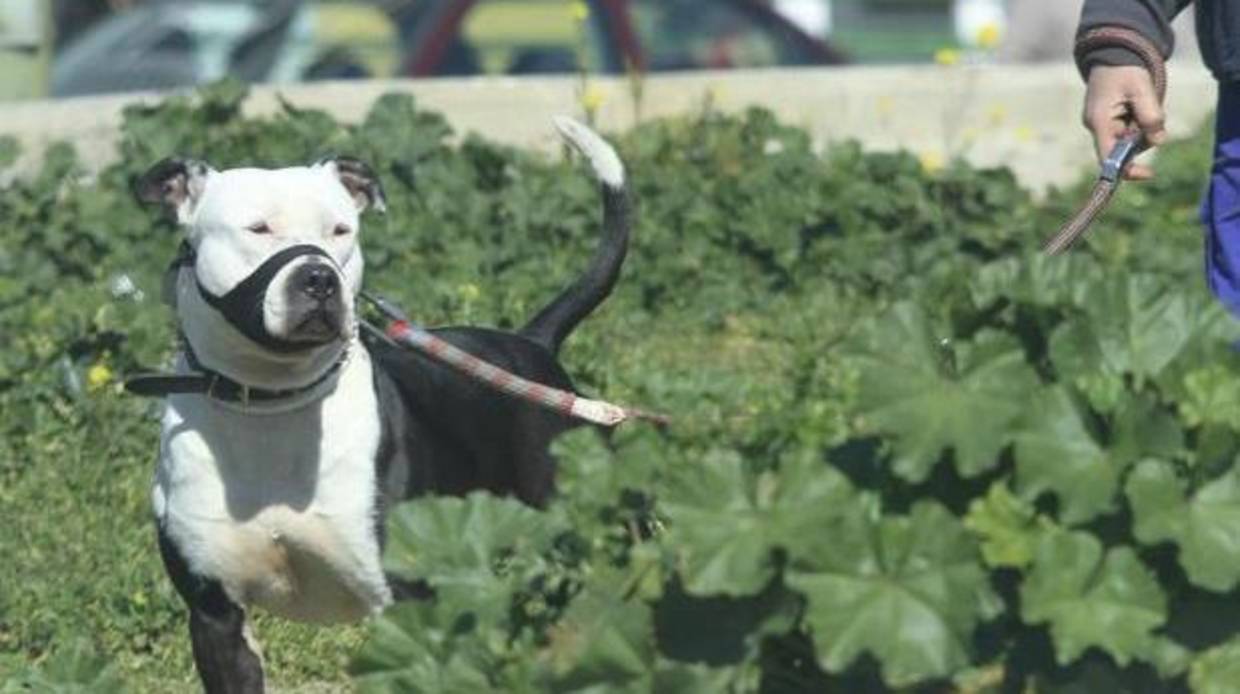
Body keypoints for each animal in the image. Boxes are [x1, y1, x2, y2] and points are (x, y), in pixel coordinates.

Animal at [135, 118, 629, 694]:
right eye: (257, 228)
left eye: (341, 231)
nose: (319, 278)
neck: (272, 405)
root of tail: (533, 343)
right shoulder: (216, 616)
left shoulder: (408, 600)